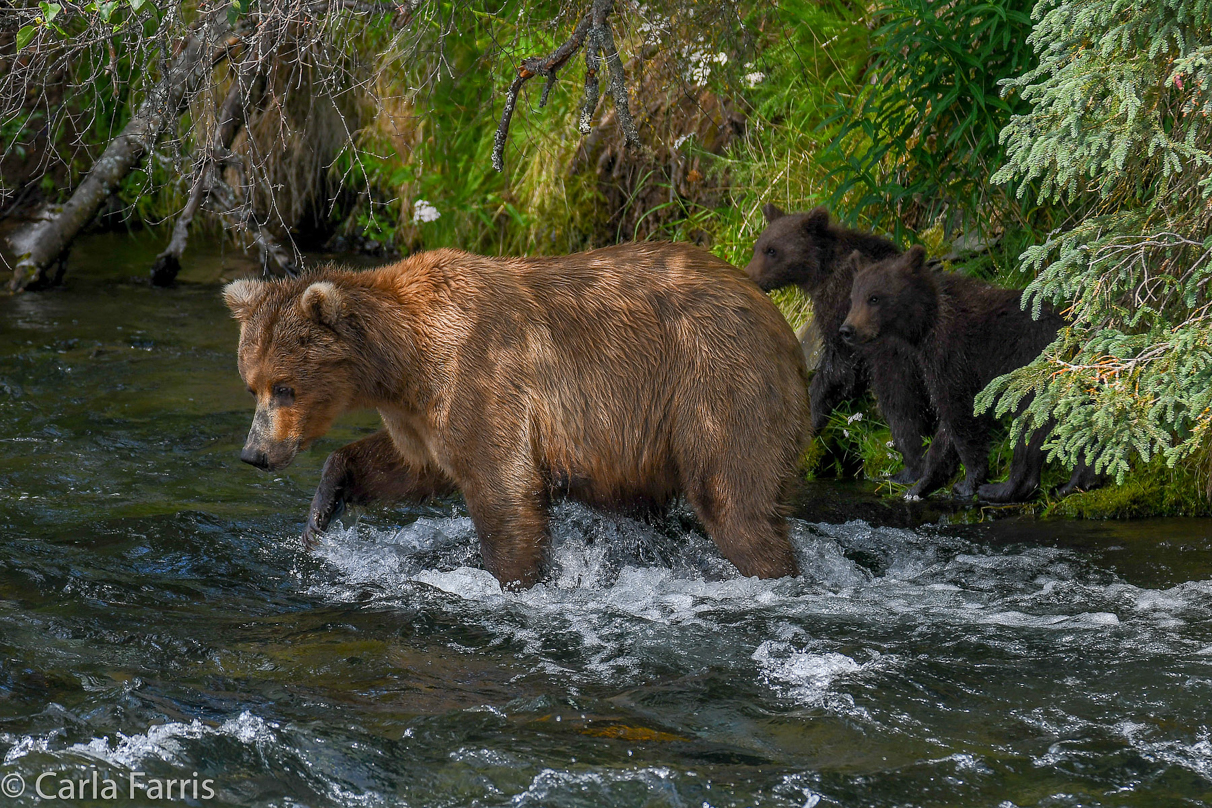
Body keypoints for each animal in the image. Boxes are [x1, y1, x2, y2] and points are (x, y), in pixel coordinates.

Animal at [227, 239, 814, 588]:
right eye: (251, 384)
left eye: (285, 387)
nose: (254, 453)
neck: (402, 361)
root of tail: (779, 321)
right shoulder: (418, 415)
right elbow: (407, 466)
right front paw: (319, 515)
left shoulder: (480, 378)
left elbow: (503, 490)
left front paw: (517, 581)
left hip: (716, 384)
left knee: (734, 496)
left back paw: (776, 572)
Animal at [746, 205, 935, 484]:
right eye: (757, 247)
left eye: (772, 250)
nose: (749, 277)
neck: (820, 272)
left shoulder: (843, 307)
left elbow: (839, 365)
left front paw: (811, 414)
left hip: (900, 360)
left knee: (901, 405)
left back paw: (909, 469)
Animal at [843, 247, 1100, 501]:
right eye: (853, 298)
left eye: (874, 297)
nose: (847, 330)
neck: (925, 323)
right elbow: (947, 424)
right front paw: (922, 481)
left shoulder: (951, 350)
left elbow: (958, 410)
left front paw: (968, 481)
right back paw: (1077, 481)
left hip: (1036, 375)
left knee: (1029, 428)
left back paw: (1004, 488)